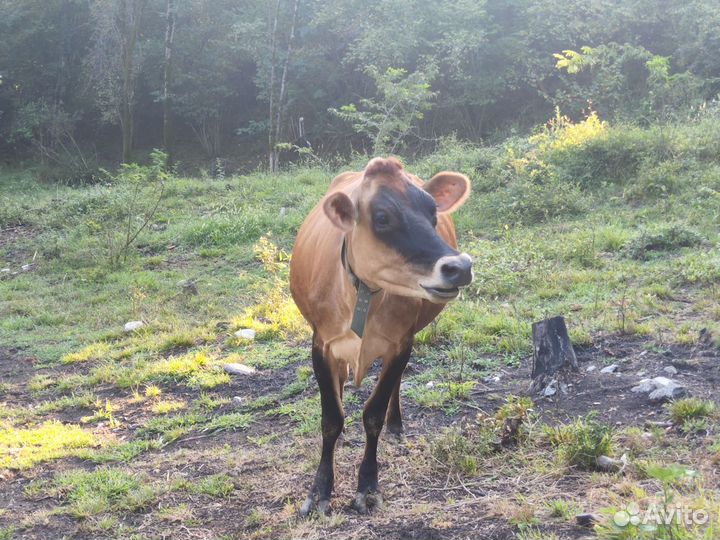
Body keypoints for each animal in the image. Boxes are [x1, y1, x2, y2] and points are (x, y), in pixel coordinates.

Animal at [289, 156, 473, 516]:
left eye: (433, 212)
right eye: (383, 217)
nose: (460, 267)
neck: (363, 293)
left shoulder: (401, 343)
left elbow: (373, 412)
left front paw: (368, 488)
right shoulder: (321, 344)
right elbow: (331, 418)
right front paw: (320, 491)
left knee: (395, 386)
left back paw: (396, 426)